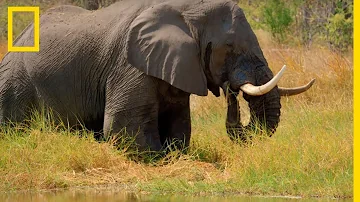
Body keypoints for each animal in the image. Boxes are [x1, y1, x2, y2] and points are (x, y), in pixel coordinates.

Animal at [0, 0, 314, 152]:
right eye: (229, 47)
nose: (231, 91)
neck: (189, 10)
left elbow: (179, 127)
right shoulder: (129, 65)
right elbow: (123, 130)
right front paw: (160, 156)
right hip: (14, 83)